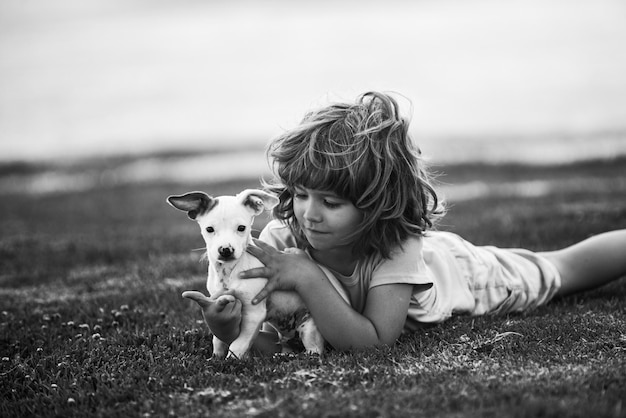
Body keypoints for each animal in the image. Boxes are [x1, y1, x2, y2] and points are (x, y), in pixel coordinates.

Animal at [166, 190, 342, 360]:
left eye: (241, 228)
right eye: (209, 229)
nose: (226, 250)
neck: (229, 271)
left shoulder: (254, 313)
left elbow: (239, 343)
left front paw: (231, 360)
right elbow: (218, 338)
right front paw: (216, 357)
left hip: (309, 329)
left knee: (315, 351)